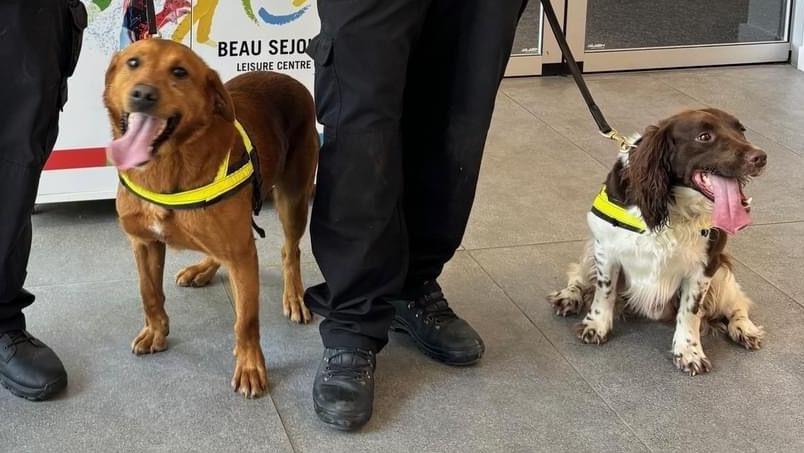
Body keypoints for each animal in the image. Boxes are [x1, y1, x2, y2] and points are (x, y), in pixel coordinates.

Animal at [105, 38, 318, 396]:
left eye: (179, 72)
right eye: (132, 63)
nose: (143, 94)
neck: (167, 167)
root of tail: (286, 77)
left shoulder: (243, 255)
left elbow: (246, 320)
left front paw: (250, 366)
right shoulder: (144, 242)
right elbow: (149, 293)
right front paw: (156, 331)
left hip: (294, 197)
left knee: (291, 251)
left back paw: (293, 296)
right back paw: (203, 270)